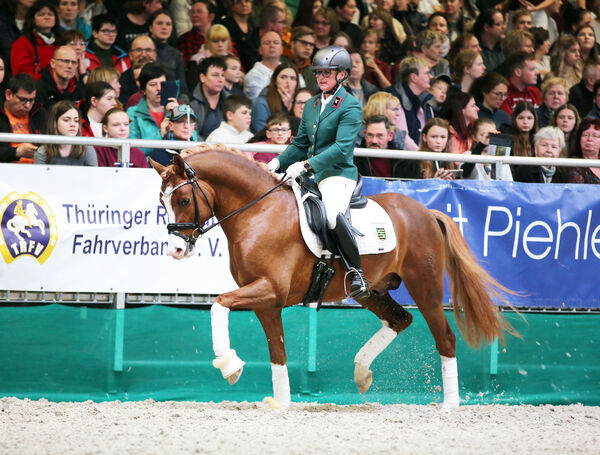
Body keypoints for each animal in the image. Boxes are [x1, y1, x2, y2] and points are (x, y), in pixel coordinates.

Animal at [150, 148, 516, 412]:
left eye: (183, 199)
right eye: (161, 201)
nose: (176, 249)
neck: (259, 213)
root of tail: (426, 212)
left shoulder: (269, 289)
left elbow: (219, 304)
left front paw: (230, 366)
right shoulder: (267, 301)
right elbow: (277, 350)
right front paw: (280, 402)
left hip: (424, 286)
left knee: (445, 338)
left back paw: (449, 405)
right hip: (372, 291)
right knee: (400, 319)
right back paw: (361, 372)